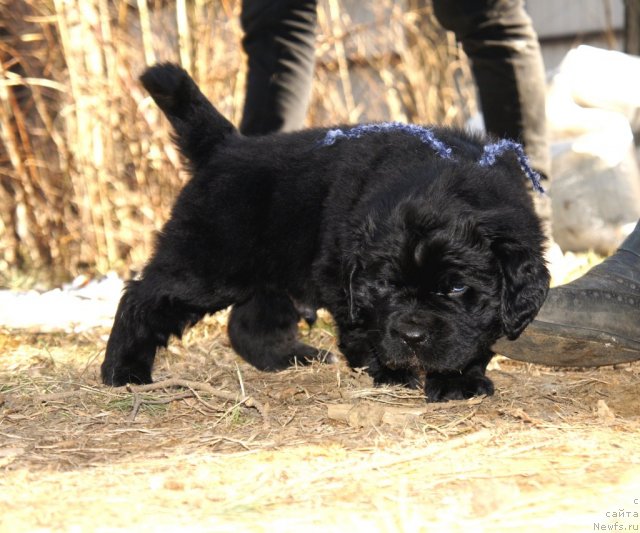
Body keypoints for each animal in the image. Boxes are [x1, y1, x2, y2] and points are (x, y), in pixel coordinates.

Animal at [101, 63, 552, 400]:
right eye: (386, 284)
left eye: (457, 288)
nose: (411, 335)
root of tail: (227, 146)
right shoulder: (338, 271)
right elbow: (362, 326)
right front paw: (392, 372)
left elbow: (474, 334)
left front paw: (458, 379)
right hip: (209, 261)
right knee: (142, 297)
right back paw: (123, 372)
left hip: (268, 269)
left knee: (249, 323)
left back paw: (294, 358)